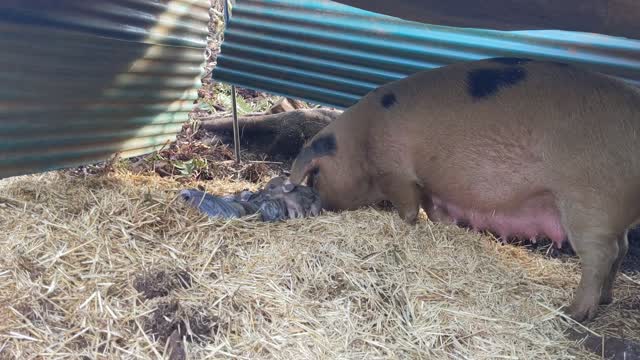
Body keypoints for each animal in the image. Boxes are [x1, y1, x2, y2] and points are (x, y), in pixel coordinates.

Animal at [282, 57, 640, 324]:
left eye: (315, 177)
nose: (322, 205)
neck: (360, 143)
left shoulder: (397, 172)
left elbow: (408, 207)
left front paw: (405, 225)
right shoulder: (429, 185)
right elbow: (434, 209)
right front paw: (444, 226)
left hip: (589, 203)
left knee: (601, 255)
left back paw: (574, 314)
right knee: (621, 249)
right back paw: (606, 301)